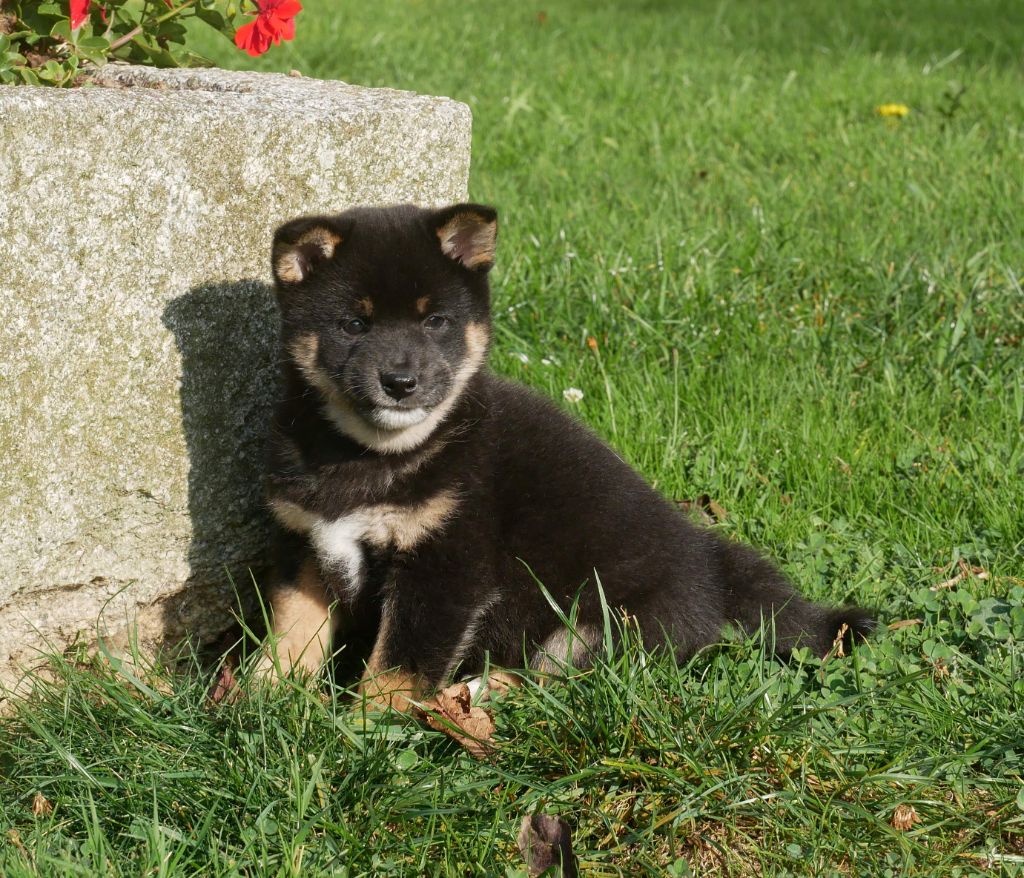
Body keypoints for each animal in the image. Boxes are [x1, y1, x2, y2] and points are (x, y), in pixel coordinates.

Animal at [252, 202, 873, 709]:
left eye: (436, 322)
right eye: (353, 324)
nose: (401, 382)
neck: (368, 455)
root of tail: (710, 564)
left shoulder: (445, 563)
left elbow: (397, 669)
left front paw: (364, 730)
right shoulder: (307, 545)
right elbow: (290, 634)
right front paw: (259, 703)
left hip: (600, 622)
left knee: (561, 680)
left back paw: (475, 694)